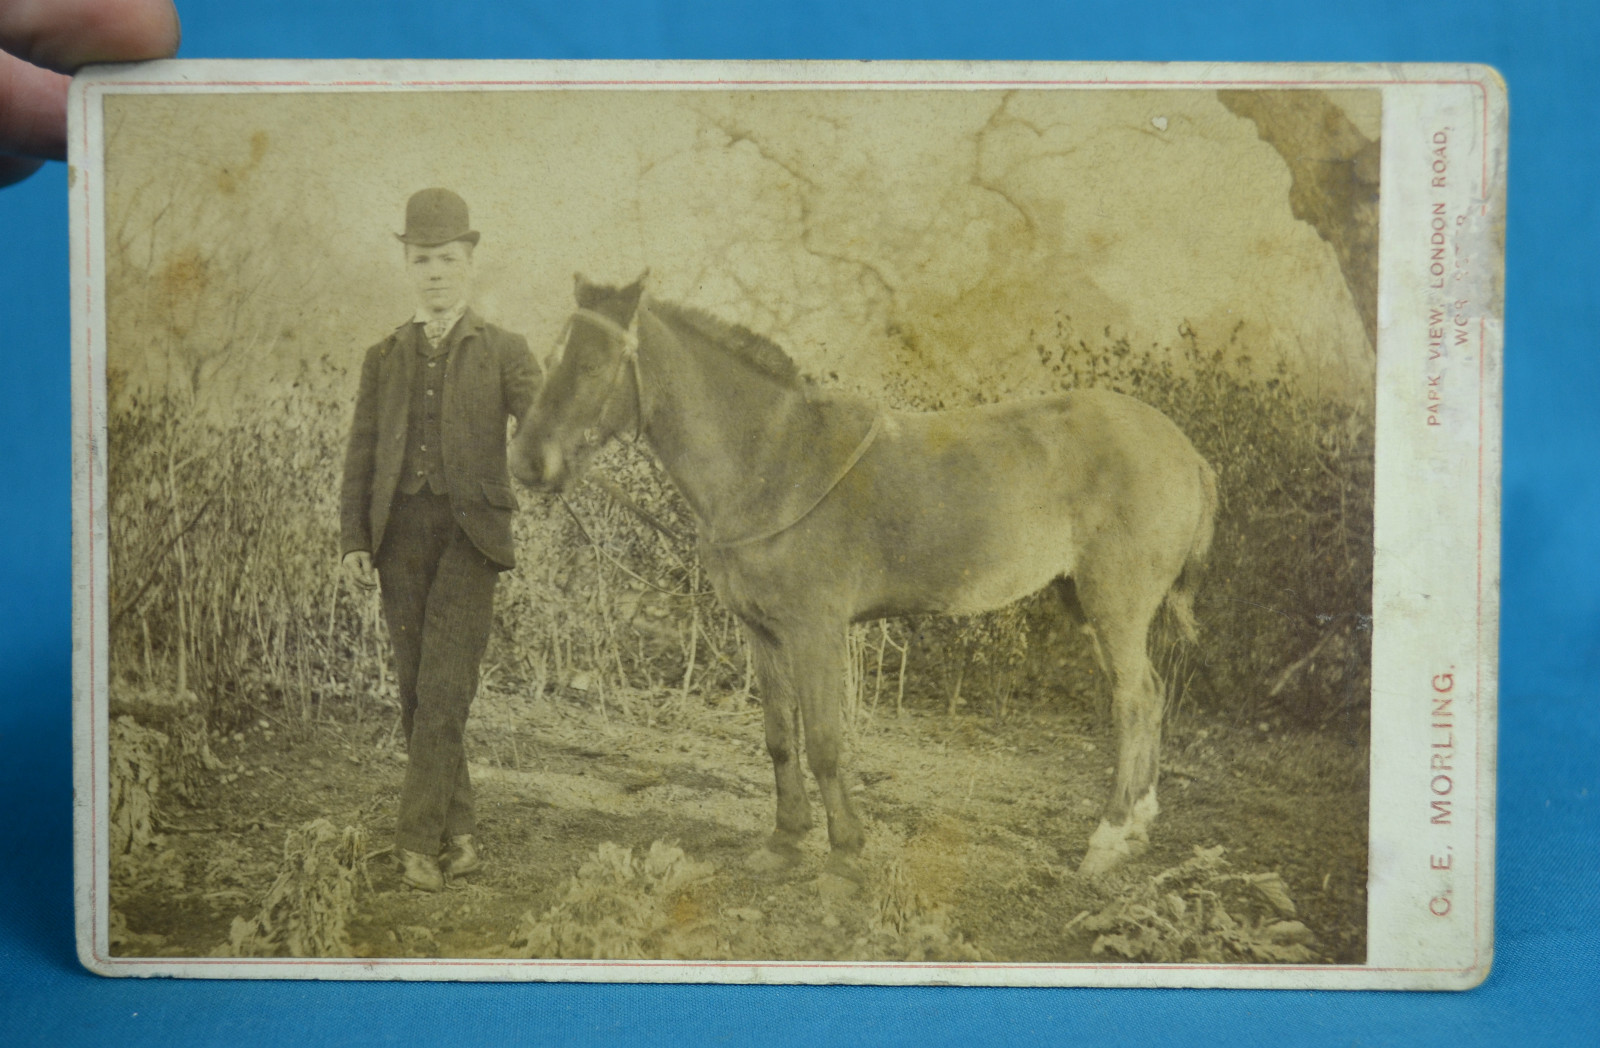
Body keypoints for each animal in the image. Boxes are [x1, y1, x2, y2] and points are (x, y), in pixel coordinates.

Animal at [511, 273, 1218, 878]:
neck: (771, 458)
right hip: (1087, 603)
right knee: (1152, 694)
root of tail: (1186, 451)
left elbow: (824, 739)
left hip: (1114, 604)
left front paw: (846, 848)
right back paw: (1139, 823)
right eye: (552, 356)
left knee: (1134, 699)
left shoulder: (815, 630)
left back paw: (1108, 838)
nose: (528, 461)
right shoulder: (762, 632)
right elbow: (779, 737)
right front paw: (785, 840)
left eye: (593, 364)